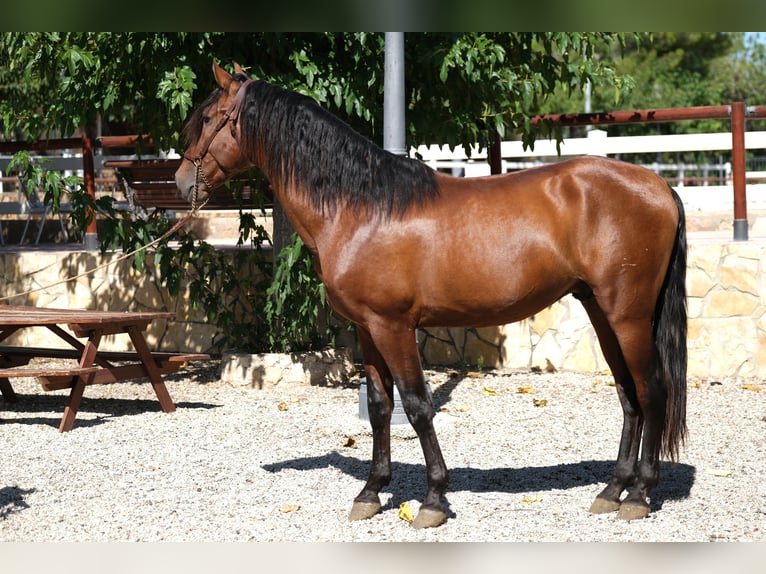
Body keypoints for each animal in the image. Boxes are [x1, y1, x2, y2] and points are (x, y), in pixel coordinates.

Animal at [176, 63, 688, 532]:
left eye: (209, 119)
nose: (183, 184)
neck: (361, 208)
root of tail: (659, 185)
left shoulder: (394, 326)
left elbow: (418, 406)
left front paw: (433, 500)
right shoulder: (367, 329)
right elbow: (380, 407)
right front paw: (371, 492)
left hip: (628, 316)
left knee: (651, 389)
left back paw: (639, 495)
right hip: (601, 311)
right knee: (628, 394)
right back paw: (612, 490)